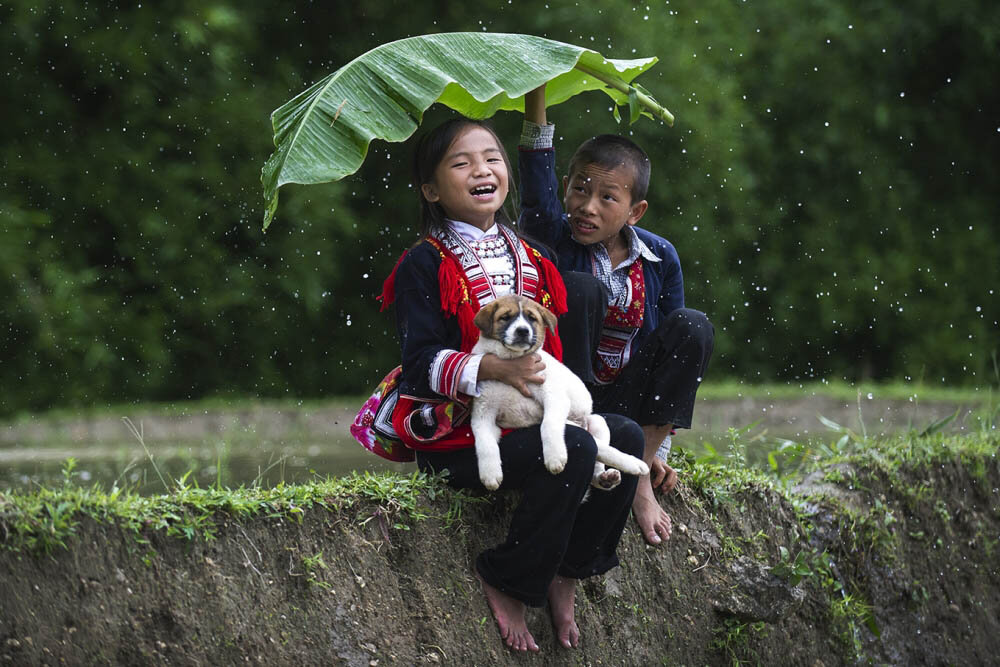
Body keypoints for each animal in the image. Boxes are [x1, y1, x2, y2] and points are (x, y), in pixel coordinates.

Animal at [468, 294, 648, 494]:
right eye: (505, 317)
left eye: (532, 318)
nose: (523, 331)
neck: (512, 361)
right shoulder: (483, 414)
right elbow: (485, 443)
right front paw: (490, 474)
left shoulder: (554, 396)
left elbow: (548, 424)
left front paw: (554, 456)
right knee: (598, 451)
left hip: (597, 421)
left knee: (602, 453)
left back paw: (616, 472)